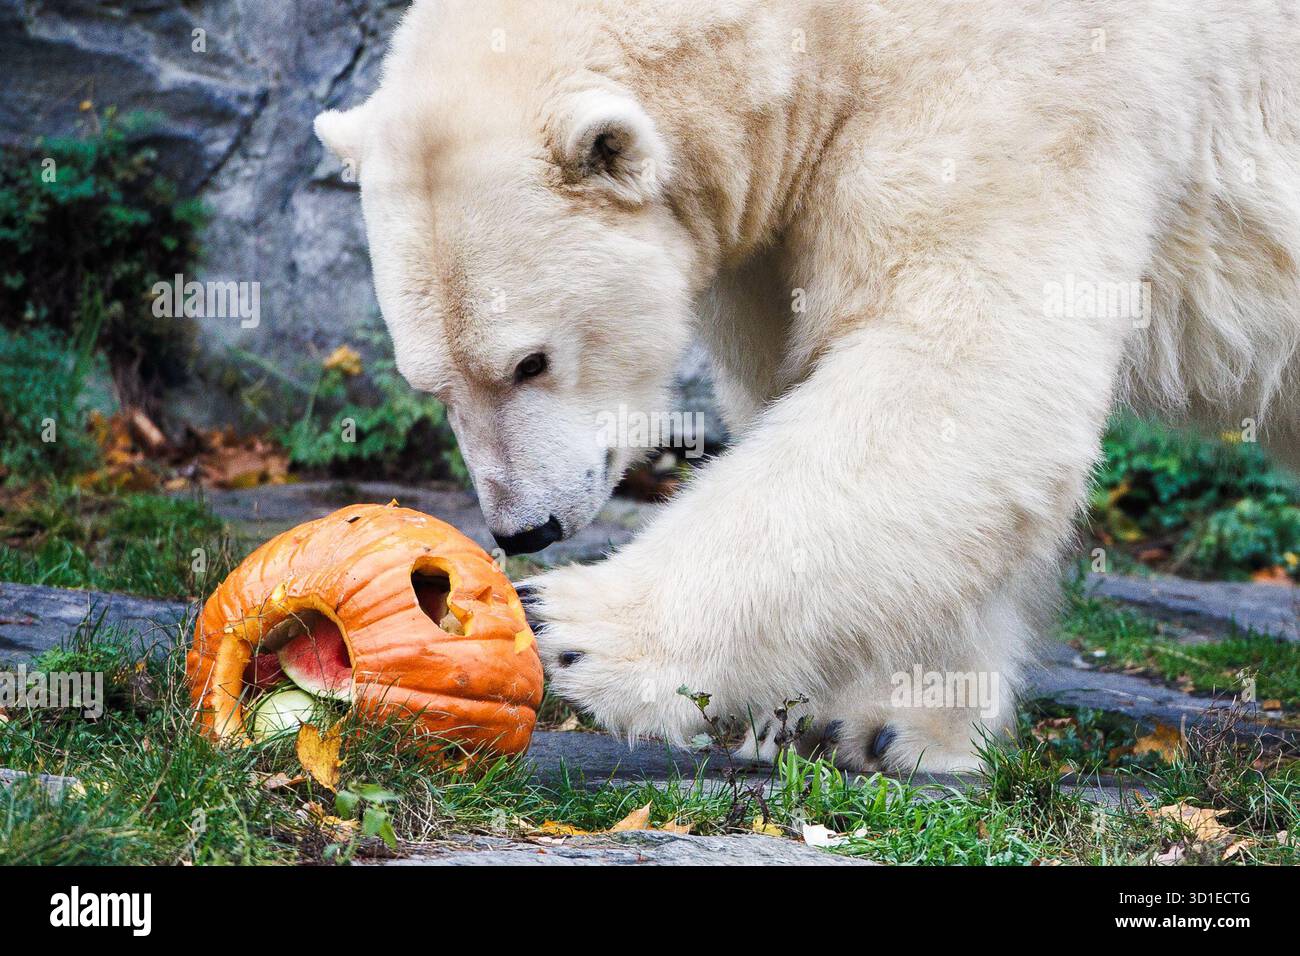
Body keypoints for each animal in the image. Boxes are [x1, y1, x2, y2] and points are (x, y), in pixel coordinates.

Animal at [315, 0, 1300, 771]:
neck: (822, 28)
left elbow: (964, 369)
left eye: (530, 362)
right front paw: (893, 719)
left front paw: (575, 632)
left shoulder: (1023, 93)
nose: (526, 530)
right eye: (433, 383)